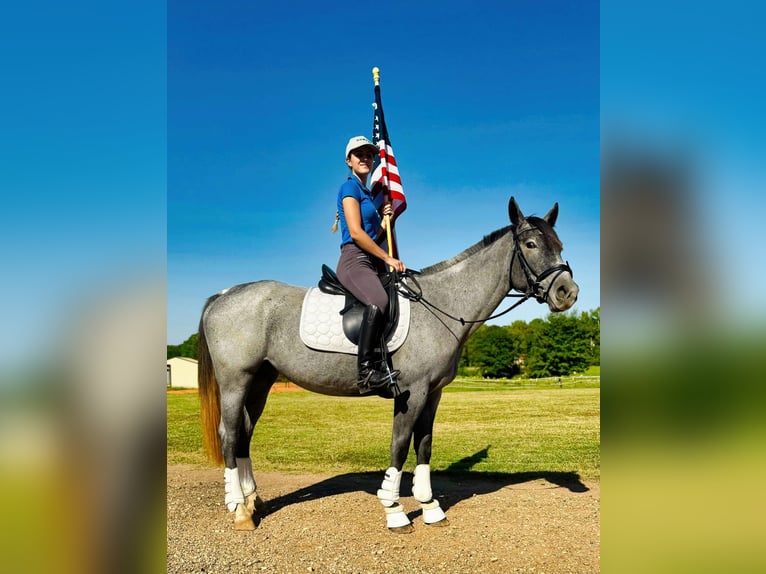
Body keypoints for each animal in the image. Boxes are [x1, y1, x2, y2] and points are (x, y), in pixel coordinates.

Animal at [197, 196, 579, 532]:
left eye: (560, 244)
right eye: (530, 244)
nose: (568, 293)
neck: (441, 305)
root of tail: (224, 294)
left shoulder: (434, 393)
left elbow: (424, 445)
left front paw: (430, 507)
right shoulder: (411, 392)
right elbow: (400, 444)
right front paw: (394, 510)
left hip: (261, 380)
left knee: (244, 433)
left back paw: (252, 501)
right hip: (236, 381)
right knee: (230, 434)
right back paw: (240, 511)